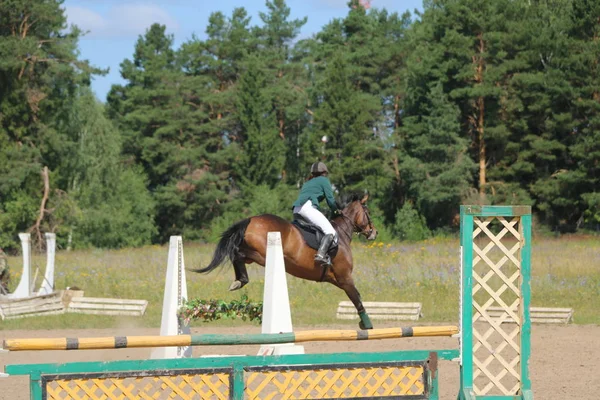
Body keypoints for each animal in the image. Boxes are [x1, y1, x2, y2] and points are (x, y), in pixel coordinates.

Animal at [195, 193, 378, 328]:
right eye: (368, 212)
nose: (373, 233)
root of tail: (251, 219)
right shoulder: (344, 277)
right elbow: (356, 297)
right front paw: (367, 324)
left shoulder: (336, 279)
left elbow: (356, 296)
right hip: (263, 254)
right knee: (237, 253)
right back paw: (241, 279)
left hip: (253, 255)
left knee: (237, 255)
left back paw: (239, 280)